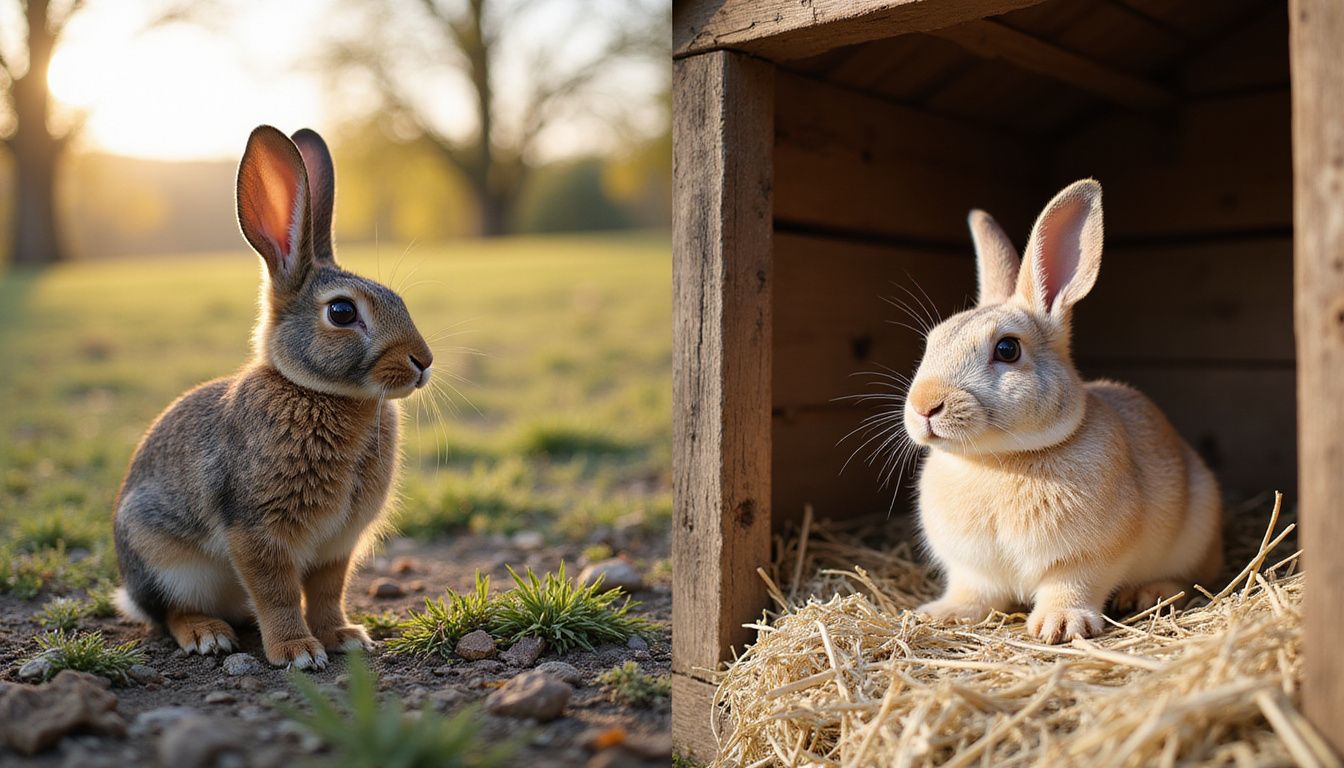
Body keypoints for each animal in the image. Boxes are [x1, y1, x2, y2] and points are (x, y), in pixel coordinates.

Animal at [112, 125, 434, 669]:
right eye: (342, 312)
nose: (423, 362)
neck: (317, 392)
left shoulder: (337, 544)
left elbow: (326, 592)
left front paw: (343, 636)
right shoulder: (258, 531)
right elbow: (277, 592)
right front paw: (297, 652)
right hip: (164, 561)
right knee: (169, 611)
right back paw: (206, 634)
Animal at [903, 179, 1223, 644]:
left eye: (1007, 349)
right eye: (932, 342)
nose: (925, 405)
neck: (1000, 461)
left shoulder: (1087, 557)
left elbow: (1072, 585)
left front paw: (1059, 626)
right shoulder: (972, 569)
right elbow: (973, 593)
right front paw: (941, 614)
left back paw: (1150, 594)